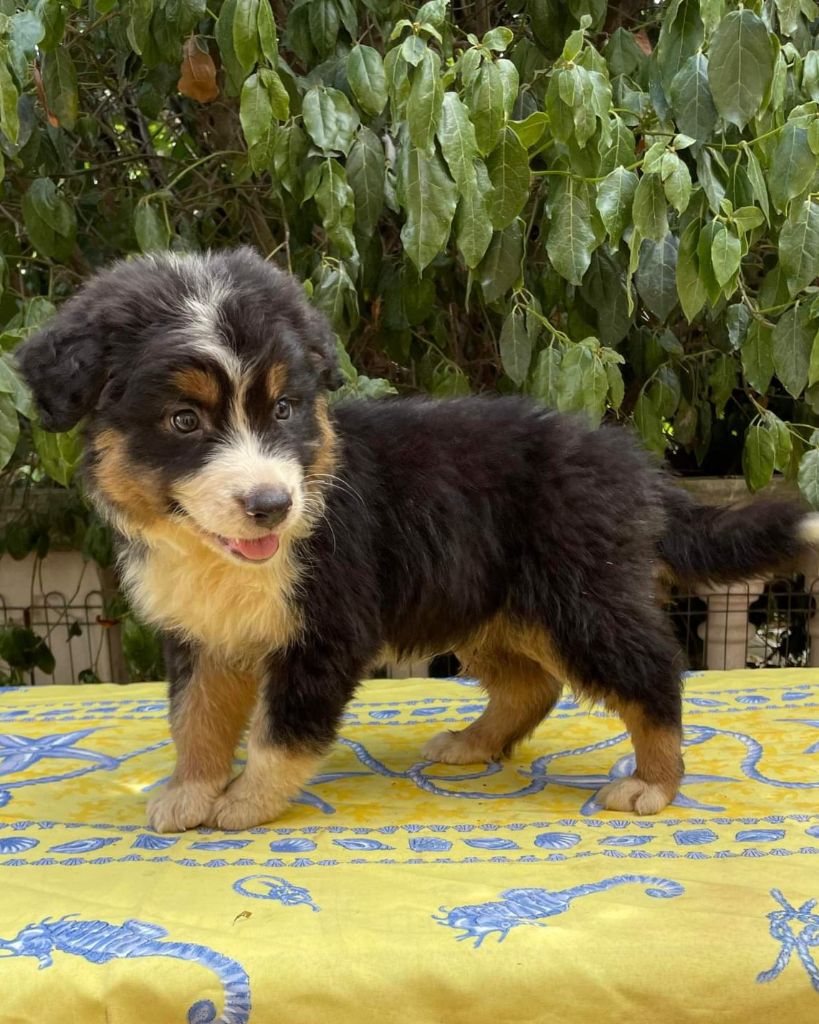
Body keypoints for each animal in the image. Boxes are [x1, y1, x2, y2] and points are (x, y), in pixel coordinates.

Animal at [17, 248, 819, 832]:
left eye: (284, 408)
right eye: (184, 421)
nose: (273, 506)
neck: (224, 560)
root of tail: (629, 462)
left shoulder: (328, 627)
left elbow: (282, 732)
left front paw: (245, 804)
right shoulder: (204, 633)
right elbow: (198, 719)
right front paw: (189, 793)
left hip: (580, 597)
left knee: (651, 674)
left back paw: (653, 785)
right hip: (487, 604)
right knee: (531, 684)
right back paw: (471, 744)